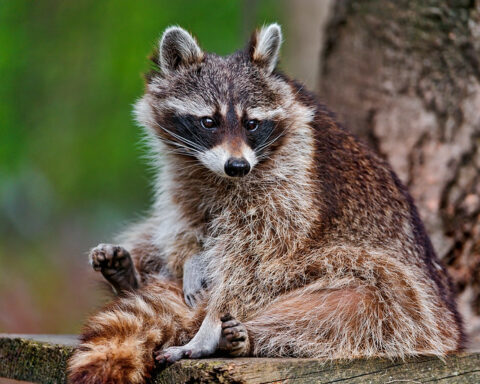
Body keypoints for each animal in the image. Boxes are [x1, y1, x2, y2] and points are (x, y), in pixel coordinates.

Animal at [68, 24, 464, 384]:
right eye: (209, 121)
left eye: (252, 124)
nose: (238, 166)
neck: (217, 174)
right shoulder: (184, 173)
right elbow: (188, 222)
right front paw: (192, 260)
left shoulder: (290, 182)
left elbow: (256, 255)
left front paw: (210, 320)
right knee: (154, 231)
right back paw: (129, 277)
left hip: (412, 305)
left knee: (363, 300)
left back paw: (233, 334)